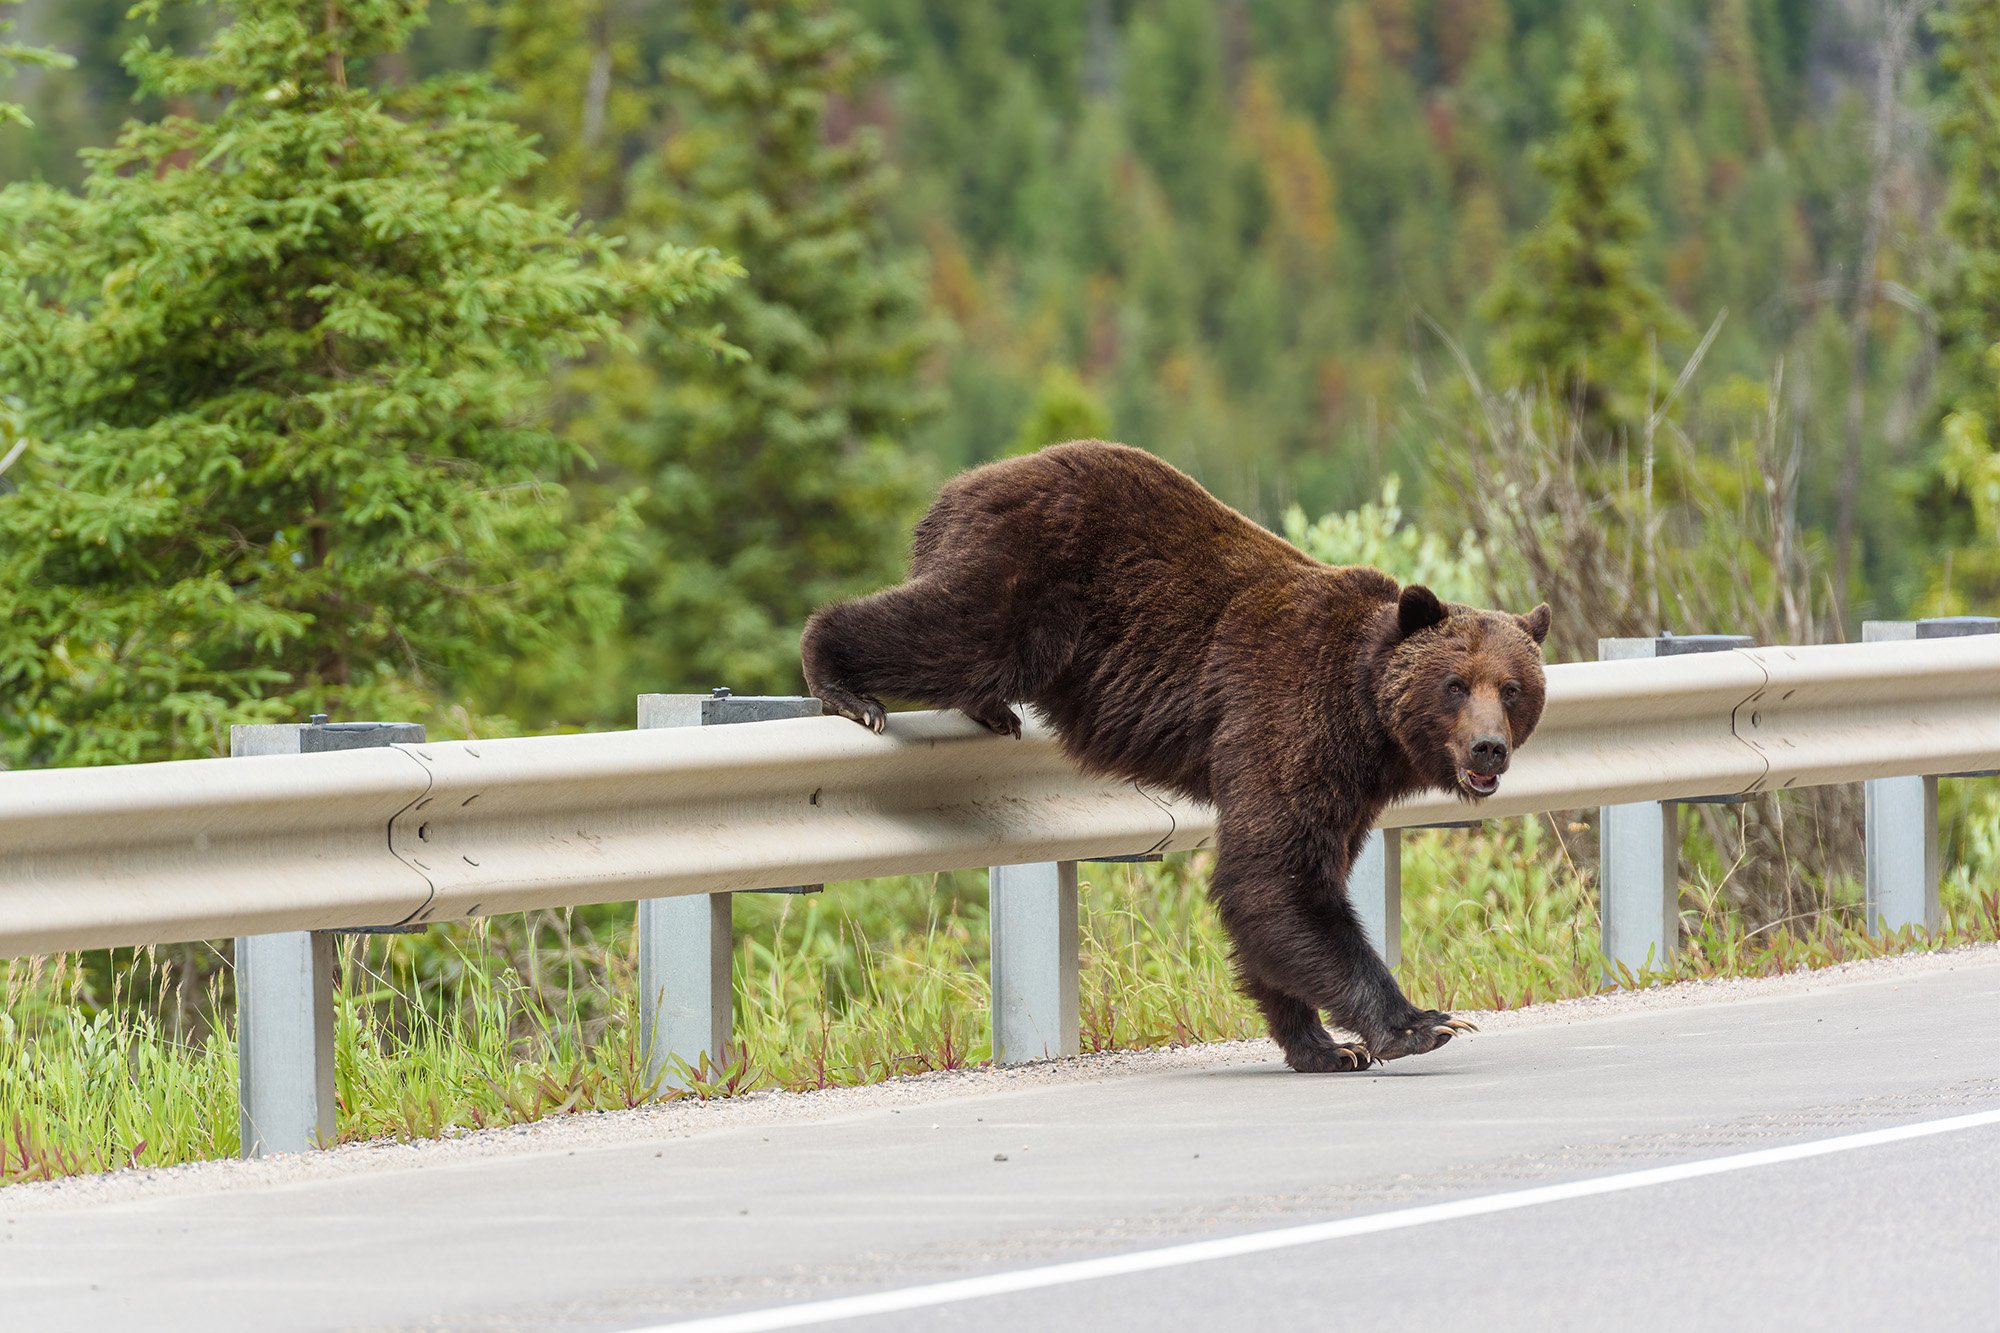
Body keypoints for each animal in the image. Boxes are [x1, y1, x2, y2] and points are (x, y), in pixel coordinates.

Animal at [801, 440, 1551, 1071]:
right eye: (1455, 685)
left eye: (1513, 688)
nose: (1489, 748)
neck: (1367, 717)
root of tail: (960, 485)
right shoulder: (1286, 716)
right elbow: (1275, 878)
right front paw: (1420, 1023)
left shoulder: (1349, 783)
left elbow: (1289, 891)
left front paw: (1322, 1044)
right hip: (1030, 572)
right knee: (956, 629)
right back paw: (842, 680)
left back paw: (985, 709)